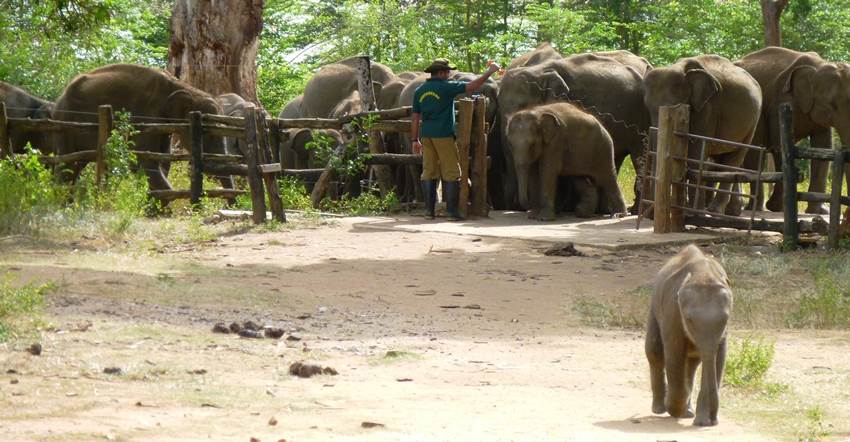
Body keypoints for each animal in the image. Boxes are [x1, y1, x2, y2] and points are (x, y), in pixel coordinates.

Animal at [52, 63, 232, 191]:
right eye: (207, 135)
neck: (179, 85)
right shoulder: (145, 116)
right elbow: (144, 159)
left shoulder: (162, 124)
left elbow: (162, 159)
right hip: (65, 122)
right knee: (68, 164)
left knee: (76, 164)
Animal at [498, 52, 651, 210]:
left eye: (523, 105)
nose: (517, 206)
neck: (539, 70)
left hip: (640, 117)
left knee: (638, 155)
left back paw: (632, 210)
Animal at [644, 55, 762, 216]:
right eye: (647, 107)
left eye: (675, 107)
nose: (650, 216)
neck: (679, 68)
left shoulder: (708, 108)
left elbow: (696, 153)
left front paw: (693, 213)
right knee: (722, 158)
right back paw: (731, 211)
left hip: (752, 123)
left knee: (734, 158)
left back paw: (715, 210)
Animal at [646, 244, 732, 427]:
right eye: (689, 320)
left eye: (726, 319)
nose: (714, 421)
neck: (704, 274)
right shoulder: (672, 310)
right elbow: (674, 354)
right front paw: (675, 409)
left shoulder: (724, 331)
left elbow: (719, 358)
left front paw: (701, 422)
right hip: (654, 309)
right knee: (655, 352)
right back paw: (660, 409)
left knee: (692, 363)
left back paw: (688, 411)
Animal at [736, 47, 850, 214]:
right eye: (832, 104)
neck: (819, 66)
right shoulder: (780, 102)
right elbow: (779, 144)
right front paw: (778, 207)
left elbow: (823, 146)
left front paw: (819, 211)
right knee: (754, 151)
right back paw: (753, 208)